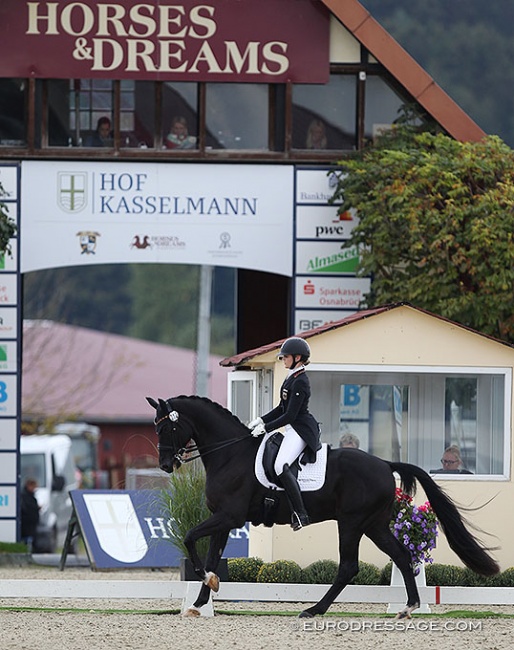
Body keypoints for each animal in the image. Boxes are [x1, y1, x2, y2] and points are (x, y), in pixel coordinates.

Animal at [146, 392, 498, 616]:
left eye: (168, 426)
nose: (165, 464)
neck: (230, 453)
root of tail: (385, 464)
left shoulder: (228, 516)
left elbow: (190, 537)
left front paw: (205, 583)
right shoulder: (223, 517)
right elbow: (211, 554)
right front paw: (201, 599)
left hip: (352, 523)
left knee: (348, 567)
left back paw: (314, 610)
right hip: (373, 524)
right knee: (400, 555)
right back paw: (408, 608)